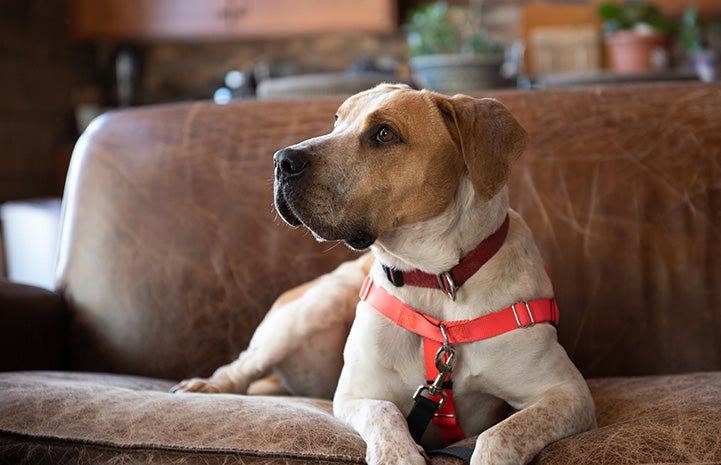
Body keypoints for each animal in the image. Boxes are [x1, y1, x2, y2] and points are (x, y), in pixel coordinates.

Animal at [172, 84, 592, 464]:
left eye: (384, 133)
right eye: (337, 120)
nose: (281, 160)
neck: (435, 280)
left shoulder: (568, 393)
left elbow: (498, 436)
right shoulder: (355, 394)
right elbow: (385, 413)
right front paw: (399, 455)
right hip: (313, 306)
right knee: (241, 365)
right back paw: (208, 386)